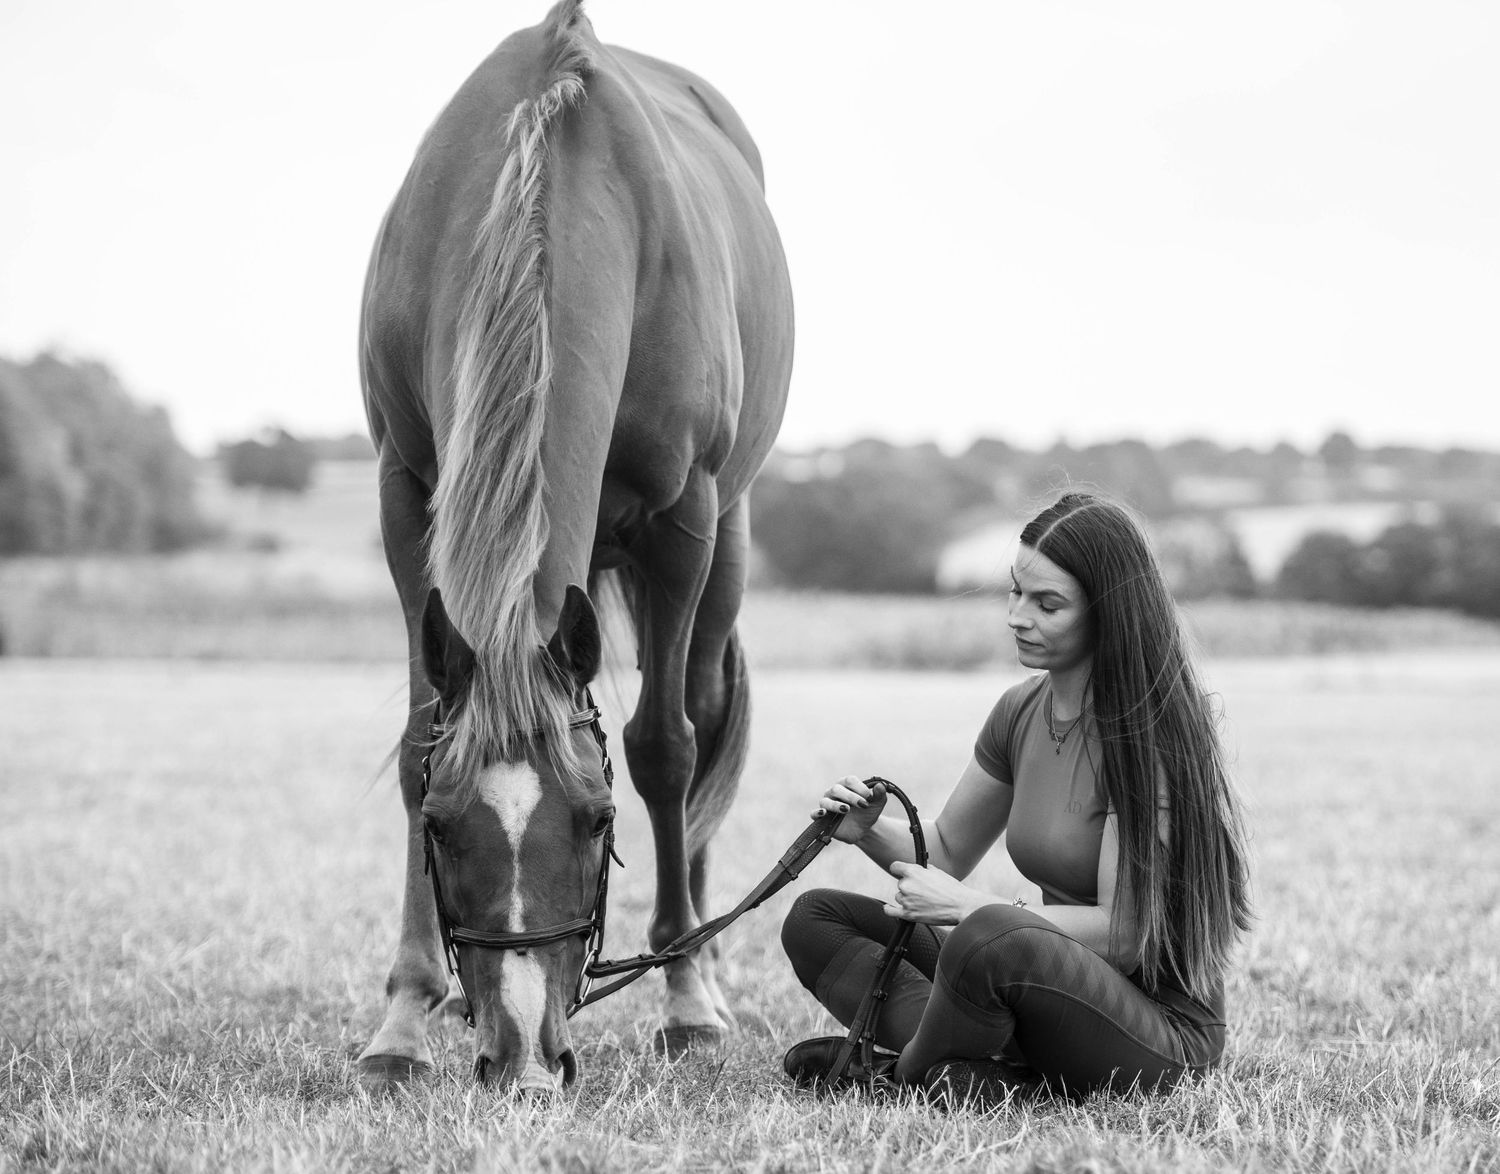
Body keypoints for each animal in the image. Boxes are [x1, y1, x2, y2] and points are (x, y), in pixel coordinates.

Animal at [355, 0, 793, 1094]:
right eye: (440, 827)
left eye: (598, 822)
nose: (523, 1056)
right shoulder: (404, 492)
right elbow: (421, 739)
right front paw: (403, 1016)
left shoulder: (683, 520)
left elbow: (665, 748)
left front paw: (687, 1003)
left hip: (725, 535)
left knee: (702, 713)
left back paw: (701, 961)